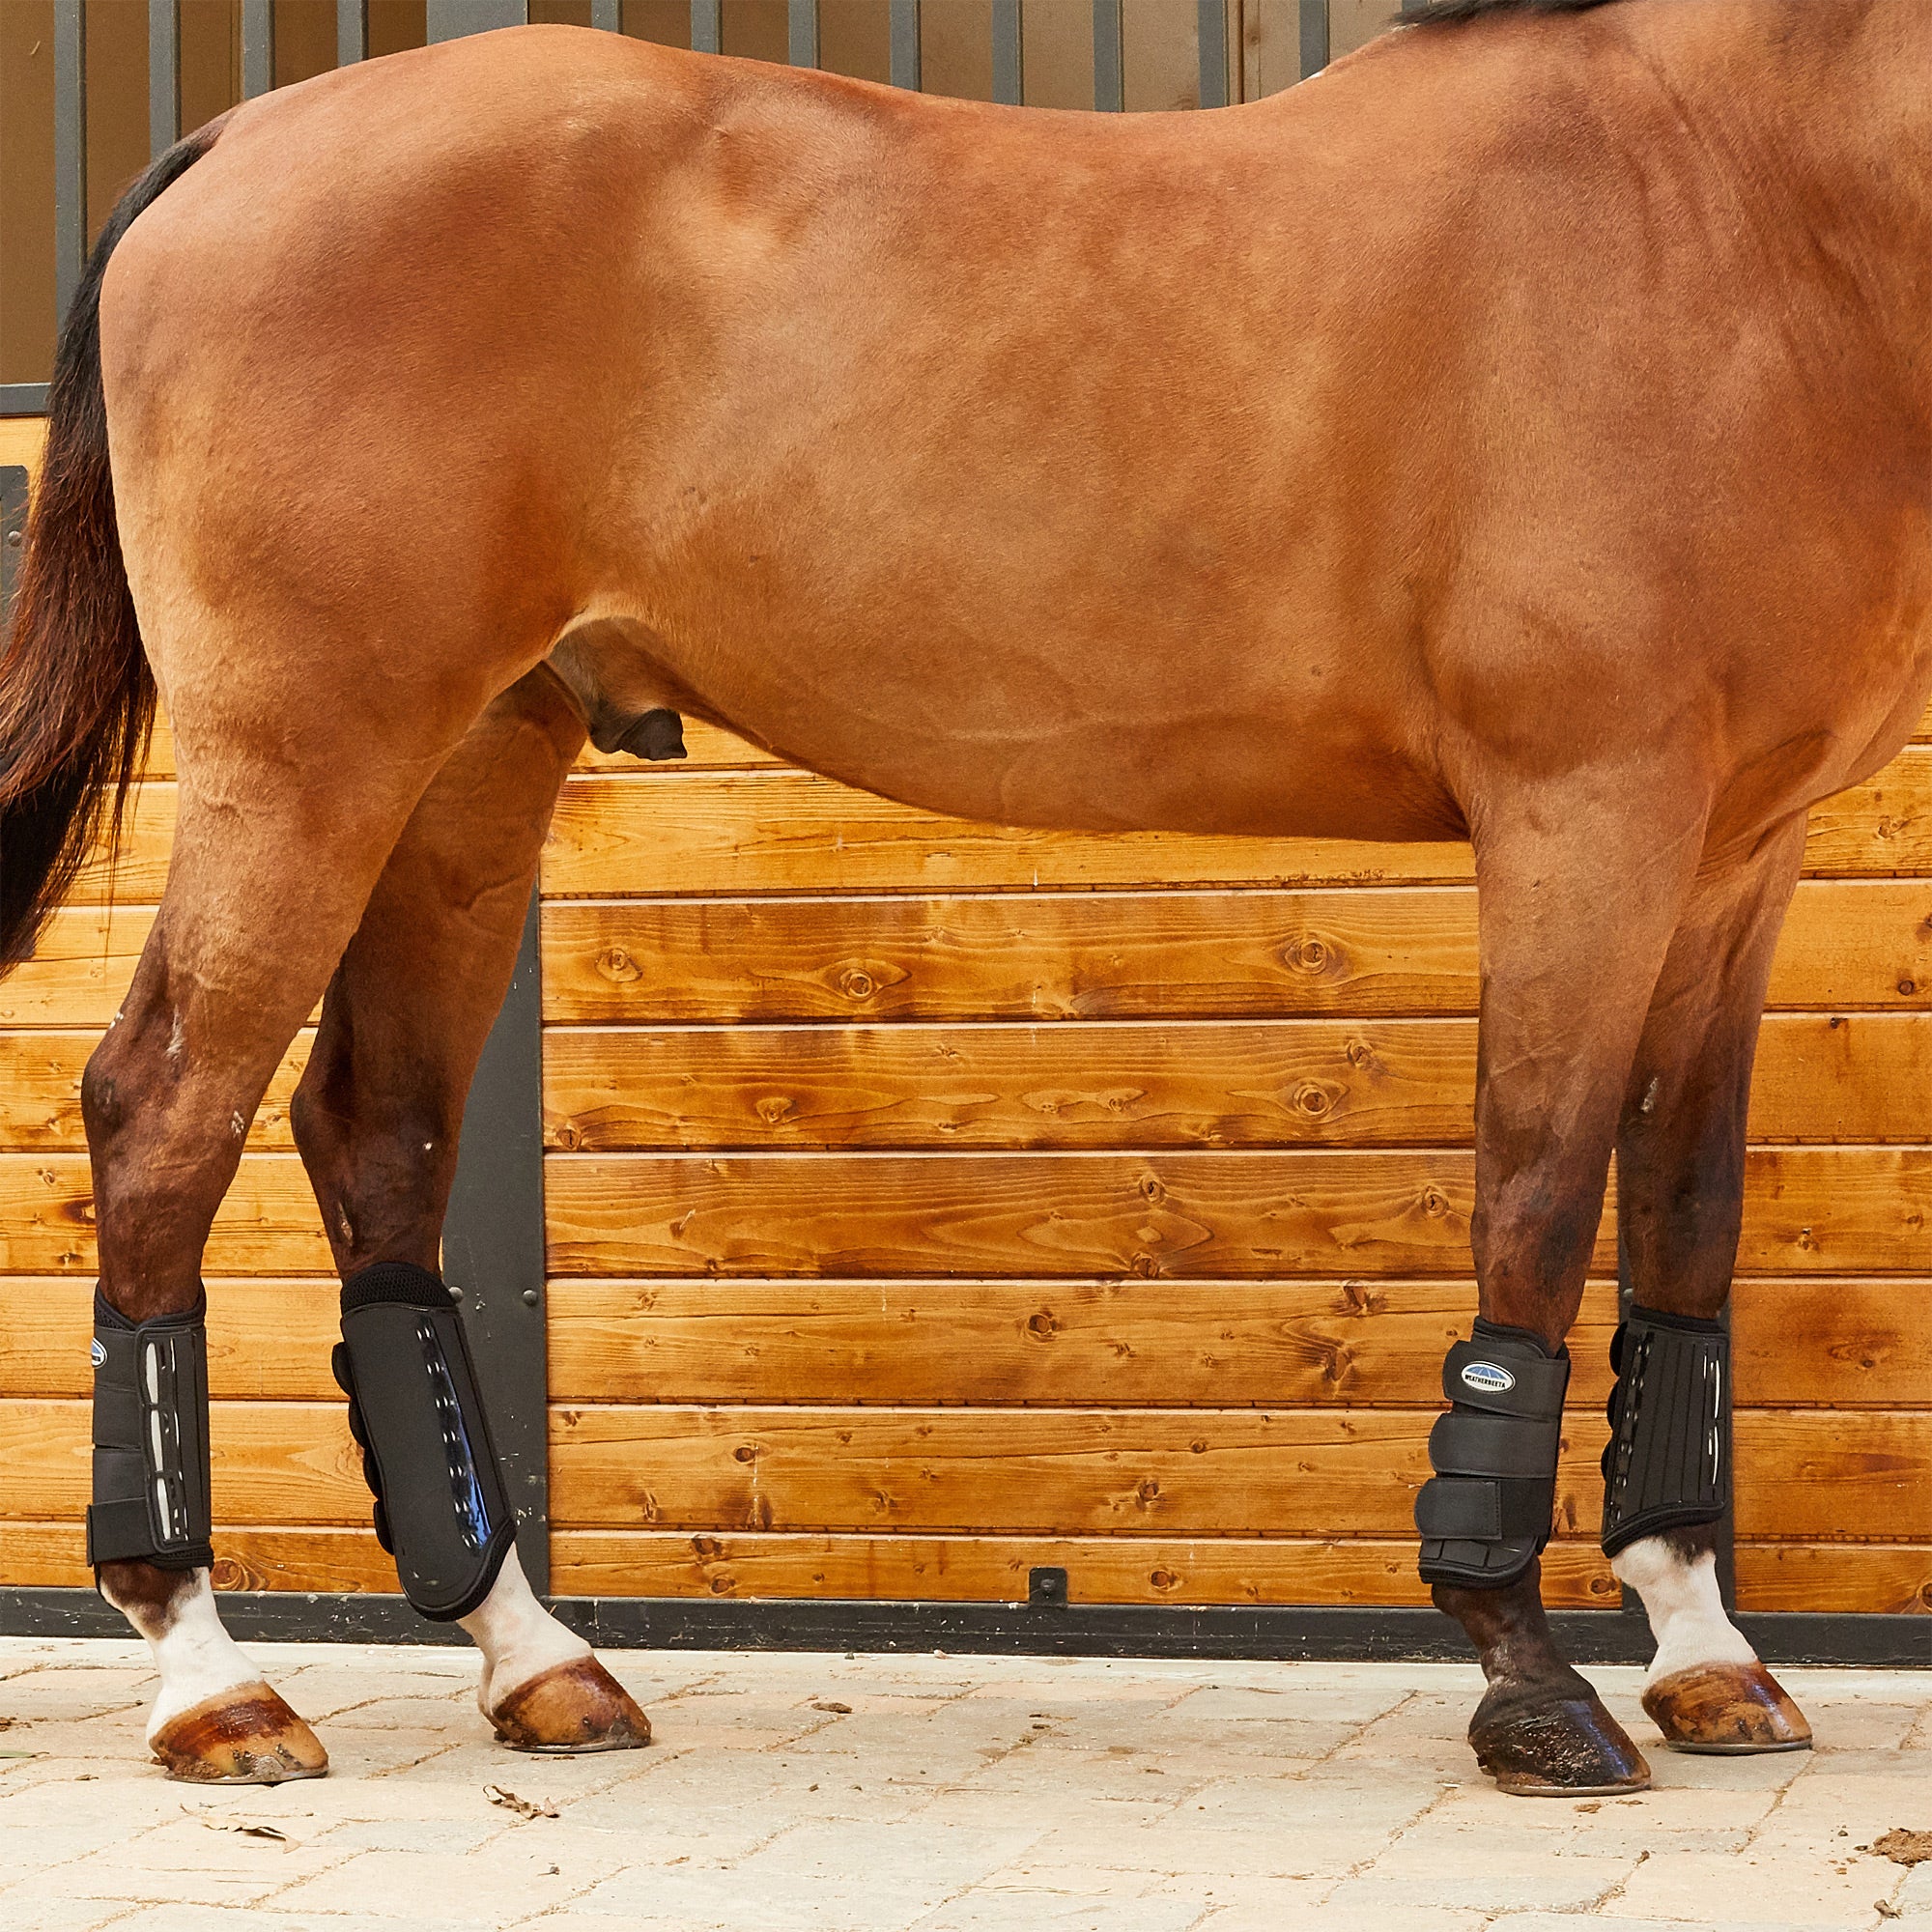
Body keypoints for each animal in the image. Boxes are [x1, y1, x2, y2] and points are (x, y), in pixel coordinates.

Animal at [0, 0, 1924, 1796]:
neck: (1722, 207)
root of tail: (235, 139)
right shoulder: (1583, 814)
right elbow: (1536, 1198)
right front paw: (1531, 1682)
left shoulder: (1732, 850)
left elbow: (1685, 1208)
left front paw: (1706, 1655)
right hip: (308, 757)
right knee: (162, 1110)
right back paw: (214, 1682)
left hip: (470, 763)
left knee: (377, 1134)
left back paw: (536, 1664)